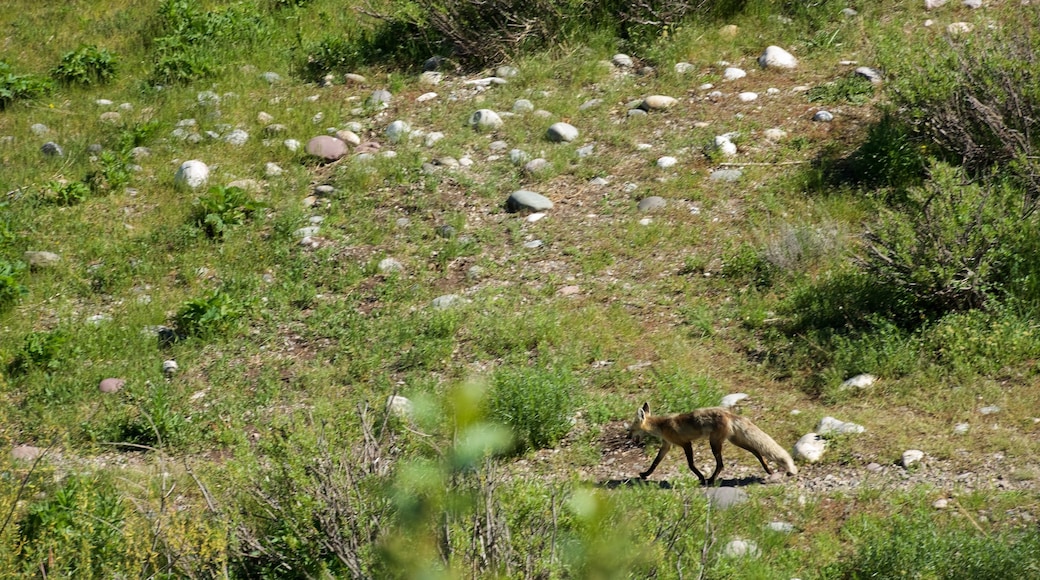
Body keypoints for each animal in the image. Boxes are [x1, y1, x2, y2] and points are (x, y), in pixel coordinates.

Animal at [632, 403, 794, 484]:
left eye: (632, 428)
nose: (628, 436)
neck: (662, 425)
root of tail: (729, 414)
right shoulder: (667, 445)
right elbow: (655, 463)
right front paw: (645, 474)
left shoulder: (686, 443)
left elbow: (691, 465)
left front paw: (701, 477)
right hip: (735, 441)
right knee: (757, 451)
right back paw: (768, 469)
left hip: (714, 443)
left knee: (721, 464)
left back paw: (710, 480)